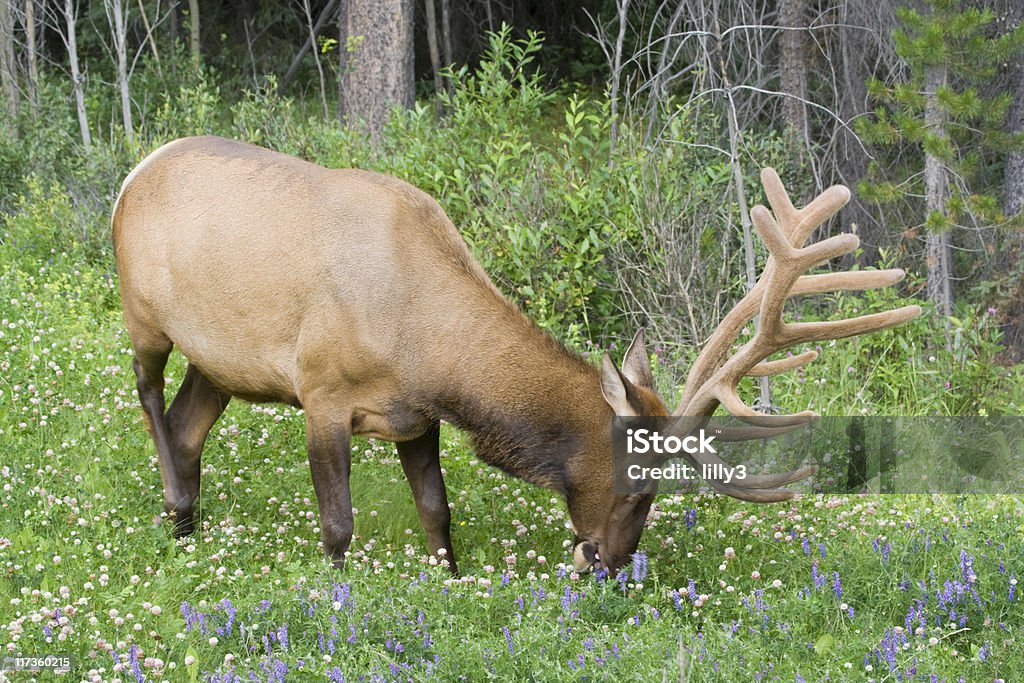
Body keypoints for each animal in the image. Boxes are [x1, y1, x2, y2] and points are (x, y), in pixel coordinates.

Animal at [112, 136, 921, 573]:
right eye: (640, 488)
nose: (606, 564)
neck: (424, 346)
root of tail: (134, 171)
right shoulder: (322, 392)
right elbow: (337, 527)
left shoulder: (414, 417)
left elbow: (438, 513)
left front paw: (449, 584)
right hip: (143, 315)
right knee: (148, 397)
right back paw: (175, 502)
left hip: (221, 361)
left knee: (187, 424)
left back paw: (187, 531)